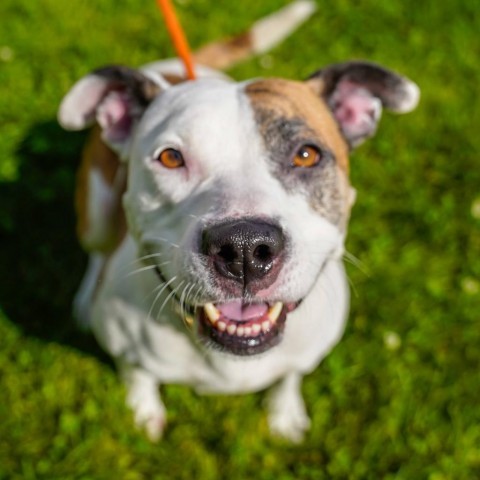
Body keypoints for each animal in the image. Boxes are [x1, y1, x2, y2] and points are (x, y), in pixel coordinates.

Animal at [59, 0, 420, 442]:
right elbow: (137, 375)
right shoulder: (125, 349)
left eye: (306, 154)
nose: (245, 247)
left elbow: (289, 378)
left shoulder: (305, 355)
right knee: (97, 250)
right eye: (171, 158)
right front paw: (143, 412)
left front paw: (285, 414)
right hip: (95, 204)